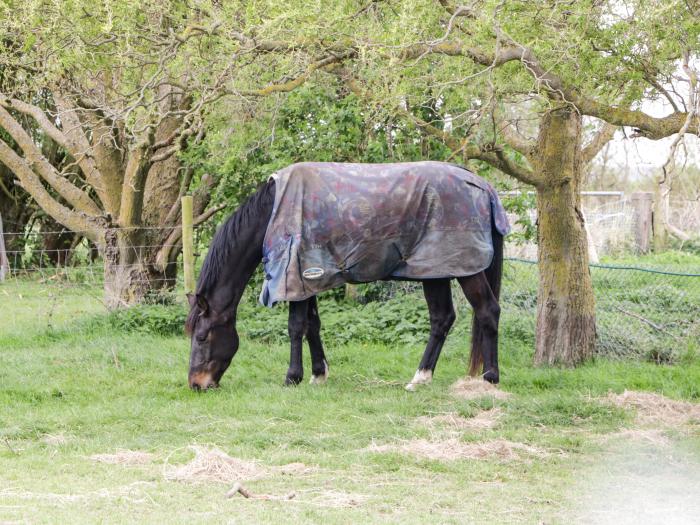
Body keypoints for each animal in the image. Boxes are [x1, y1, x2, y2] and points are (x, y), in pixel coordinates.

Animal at [183, 162, 506, 390]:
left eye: (201, 336)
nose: (196, 384)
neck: (274, 213)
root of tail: (482, 186)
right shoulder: (309, 280)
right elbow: (312, 325)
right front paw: (318, 374)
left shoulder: (296, 276)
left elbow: (295, 327)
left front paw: (292, 377)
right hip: (435, 270)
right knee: (442, 319)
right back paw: (420, 377)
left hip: (465, 270)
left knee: (487, 311)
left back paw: (489, 377)